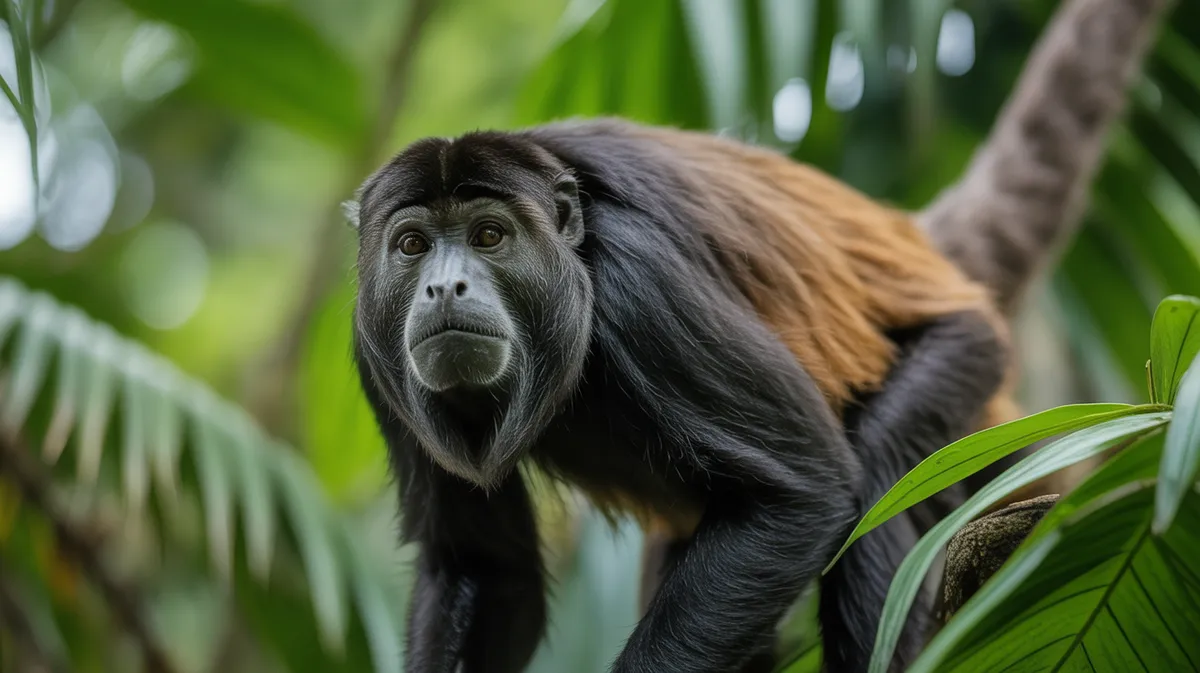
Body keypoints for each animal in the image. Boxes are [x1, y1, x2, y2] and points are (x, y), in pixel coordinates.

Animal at [346, 0, 1171, 671]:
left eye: (490, 235)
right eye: (412, 245)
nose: (443, 287)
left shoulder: (639, 289)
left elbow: (807, 492)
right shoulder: (371, 345)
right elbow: (486, 569)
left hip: (966, 355)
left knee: (878, 469)